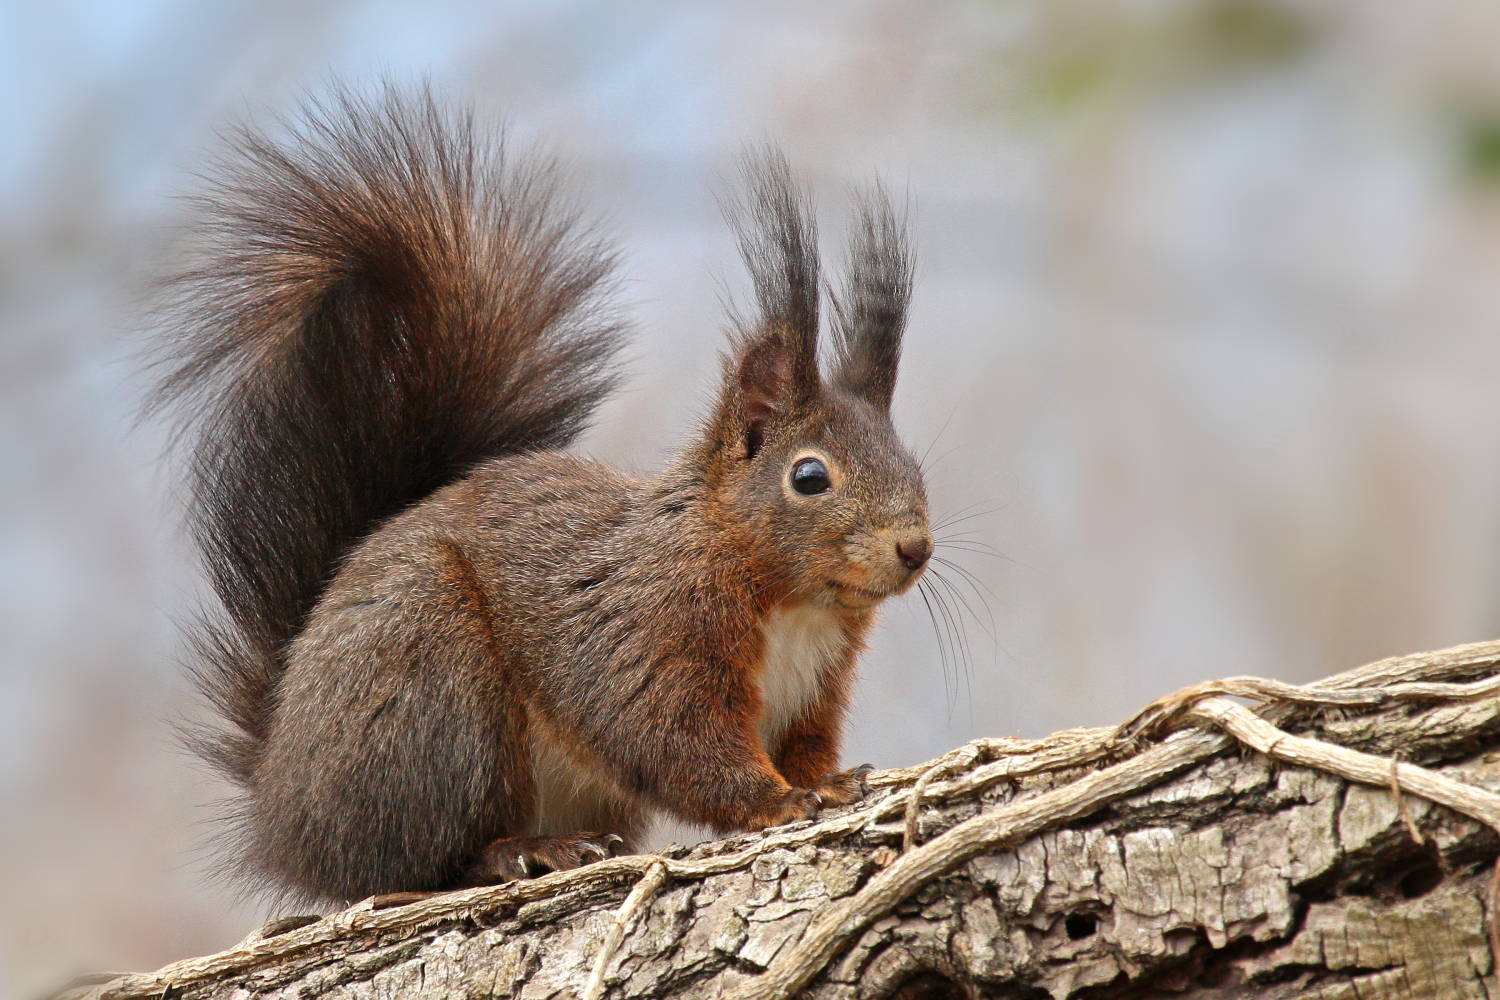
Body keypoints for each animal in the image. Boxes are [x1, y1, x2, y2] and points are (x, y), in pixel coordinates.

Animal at [154, 87, 932, 905]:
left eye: (911, 463)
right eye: (809, 477)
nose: (916, 548)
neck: (791, 601)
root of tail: (282, 800)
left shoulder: (813, 691)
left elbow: (804, 747)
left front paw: (830, 782)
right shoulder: (647, 638)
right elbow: (677, 745)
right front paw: (777, 801)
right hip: (434, 681)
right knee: (420, 858)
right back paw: (523, 851)